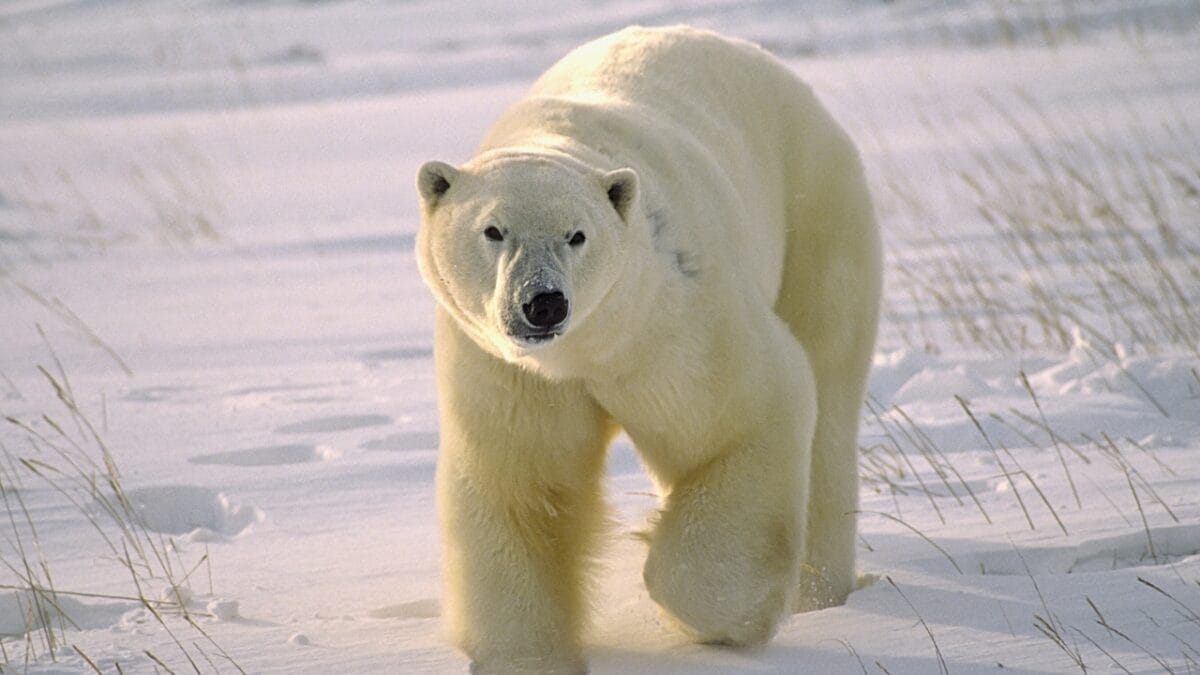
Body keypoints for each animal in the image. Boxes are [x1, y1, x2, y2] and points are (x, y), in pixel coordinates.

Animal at [414, 25, 881, 673]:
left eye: (577, 235)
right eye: (493, 230)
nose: (543, 303)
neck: (586, 348)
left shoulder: (667, 322)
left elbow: (744, 413)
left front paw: (719, 617)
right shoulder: (509, 371)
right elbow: (524, 487)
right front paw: (530, 654)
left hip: (815, 211)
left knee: (829, 387)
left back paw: (821, 591)